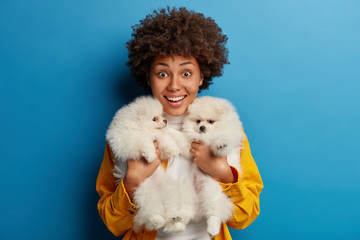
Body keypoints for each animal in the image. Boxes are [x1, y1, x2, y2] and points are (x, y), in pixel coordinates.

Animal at [105, 95, 184, 232]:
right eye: (154, 119)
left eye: (161, 115)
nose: (165, 121)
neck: (139, 126)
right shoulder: (128, 141)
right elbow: (144, 140)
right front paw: (150, 155)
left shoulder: (158, 135)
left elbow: (164, 138)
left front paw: (172, 148)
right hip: (146, 194)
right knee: (151, 213)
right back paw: (158, 220)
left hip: (170, 191)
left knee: (170, 209)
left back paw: (176, 221)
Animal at [183, 96, 245, 238]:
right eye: (198, 121)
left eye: (211, 121)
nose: (201, 127)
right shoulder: (192, 144)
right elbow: (184, 140)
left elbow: (223, 139)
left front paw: (221, 143)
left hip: (212, 191)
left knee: (215, 212)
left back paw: (212, 228)